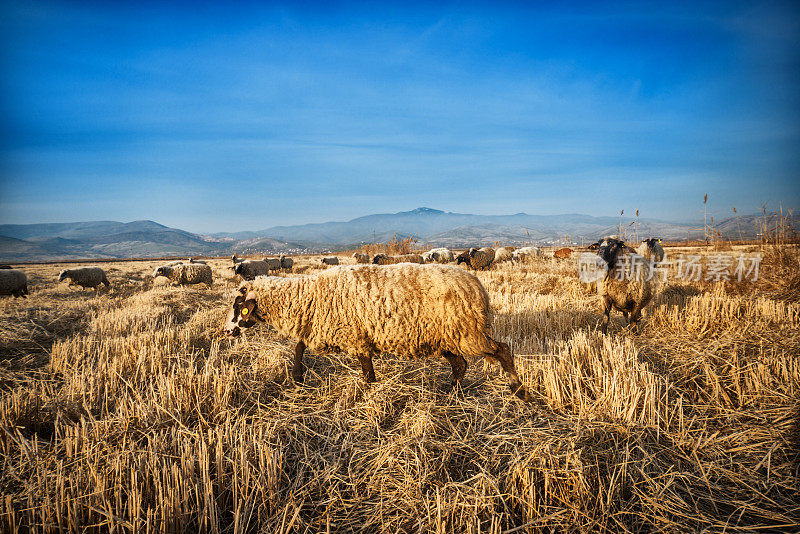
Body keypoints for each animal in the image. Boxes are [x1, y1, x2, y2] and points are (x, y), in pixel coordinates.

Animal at [222, 264, 532, 402]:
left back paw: (519, 390)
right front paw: (297, 376)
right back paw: (450, 393)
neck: (307, 297)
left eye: (238, 305)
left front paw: (369, 392)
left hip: (468, 332)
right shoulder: (321, 327)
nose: (226, 332)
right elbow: (298, 347)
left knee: (502, 350)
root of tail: (478, 285)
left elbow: (366, 369)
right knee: (461, 364)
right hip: (446, 336)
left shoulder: (354, 335)